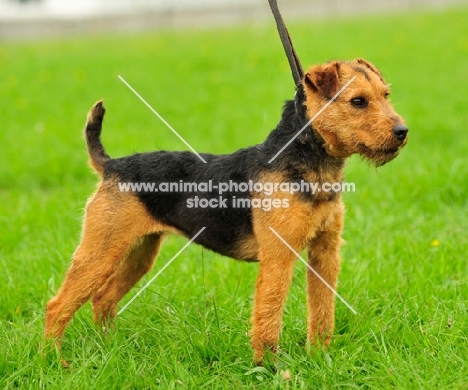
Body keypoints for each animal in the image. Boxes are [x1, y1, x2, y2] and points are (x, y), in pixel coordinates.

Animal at [45, 59, 408, 364]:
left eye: (385, 95)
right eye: (358, 101)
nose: (402, 132)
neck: (308, 164)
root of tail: (110, 166)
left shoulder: (325, 252)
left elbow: (322, 311)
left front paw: (320, 357)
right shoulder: (279, 255)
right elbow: (268, 313)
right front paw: (268, 367)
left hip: (138, 253)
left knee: (102, 299)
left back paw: (109, 349)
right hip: (100, 251)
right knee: (57, 306)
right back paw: (54, 360)